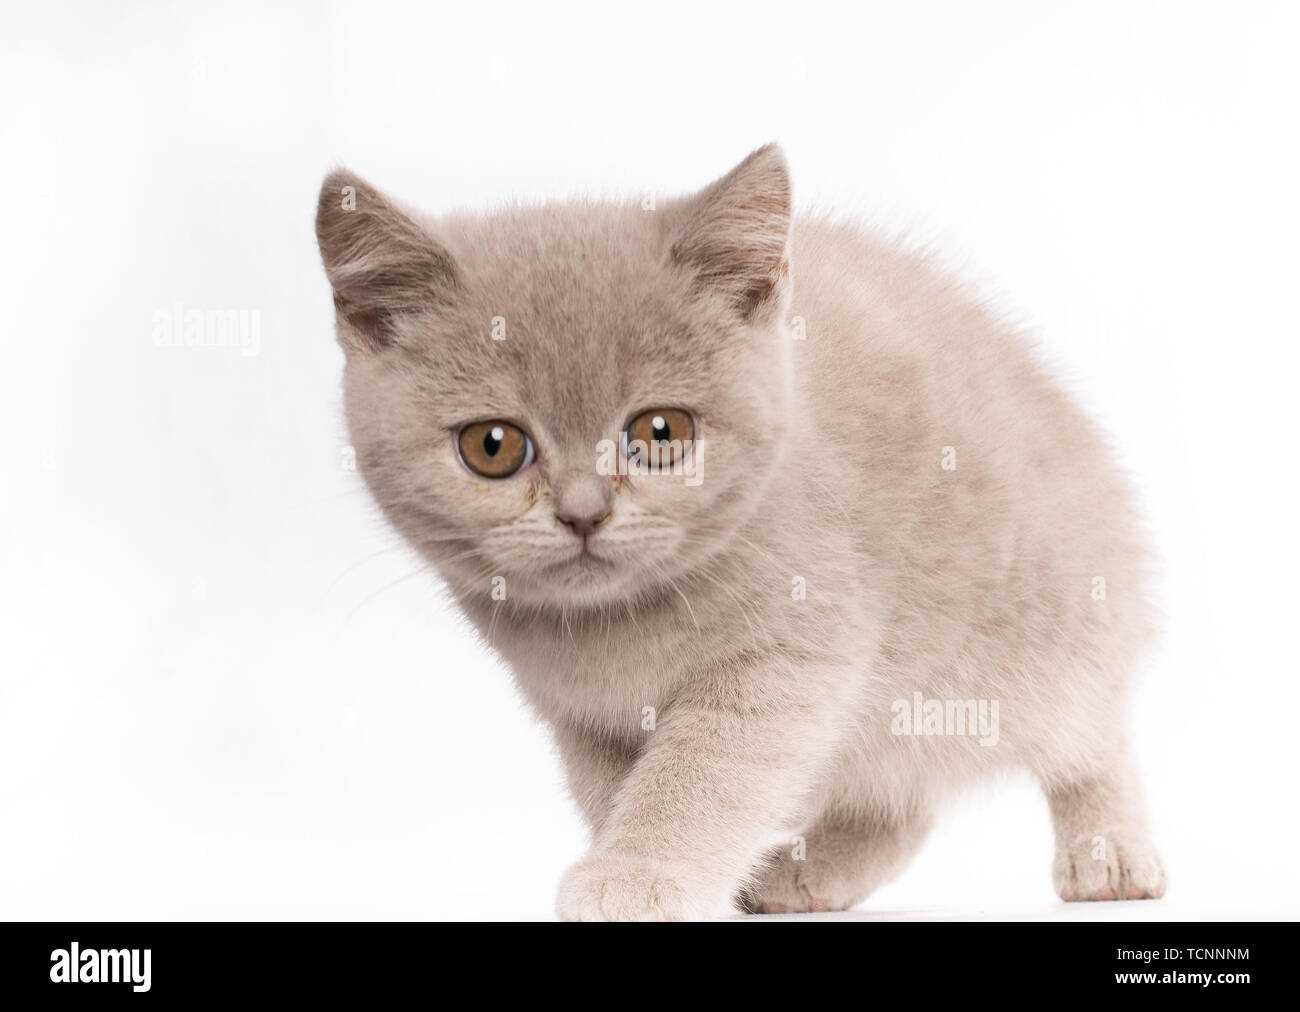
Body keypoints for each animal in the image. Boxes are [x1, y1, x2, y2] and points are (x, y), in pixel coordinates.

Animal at [314, 145, 1170, 920]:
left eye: (662, 433)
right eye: (491, 446)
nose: (584, 513)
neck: (611, 633)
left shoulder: (788, 659)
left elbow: (700, 774)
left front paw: (640, 875)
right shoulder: (581, 716)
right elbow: (614, 788)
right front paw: (641, 862)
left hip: (1046, 628)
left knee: (1093, 735)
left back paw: (1110, 855)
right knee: (903, 803)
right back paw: (805, 873)